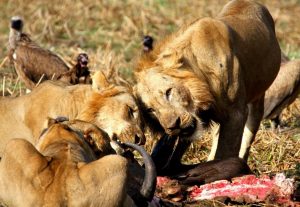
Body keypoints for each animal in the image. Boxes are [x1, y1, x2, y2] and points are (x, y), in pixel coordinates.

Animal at [135, 0, 280, 174]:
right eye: (151, 110)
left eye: (168, 92)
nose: (173, 126)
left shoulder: (236, 114)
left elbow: (225, 152)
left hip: (258, 98)